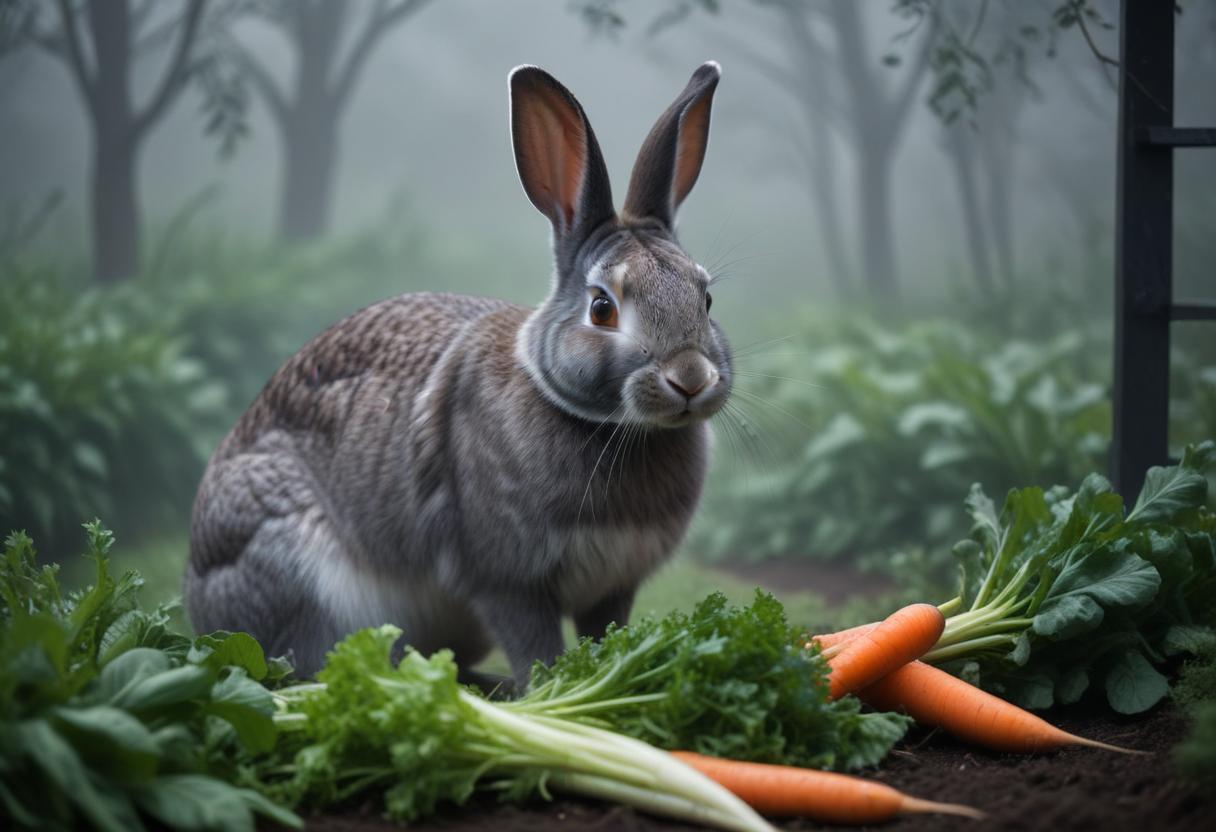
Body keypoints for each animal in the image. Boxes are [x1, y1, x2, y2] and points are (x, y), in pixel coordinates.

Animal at [184, 61, 732, 689]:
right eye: (601, 308)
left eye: (705, 298)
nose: (690, 378)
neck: (602, 422)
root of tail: (198, 591)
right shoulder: (504, 579)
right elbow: (536, 646)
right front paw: (553, 689)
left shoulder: (613, 587)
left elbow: (603, 635)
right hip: (304, 576)